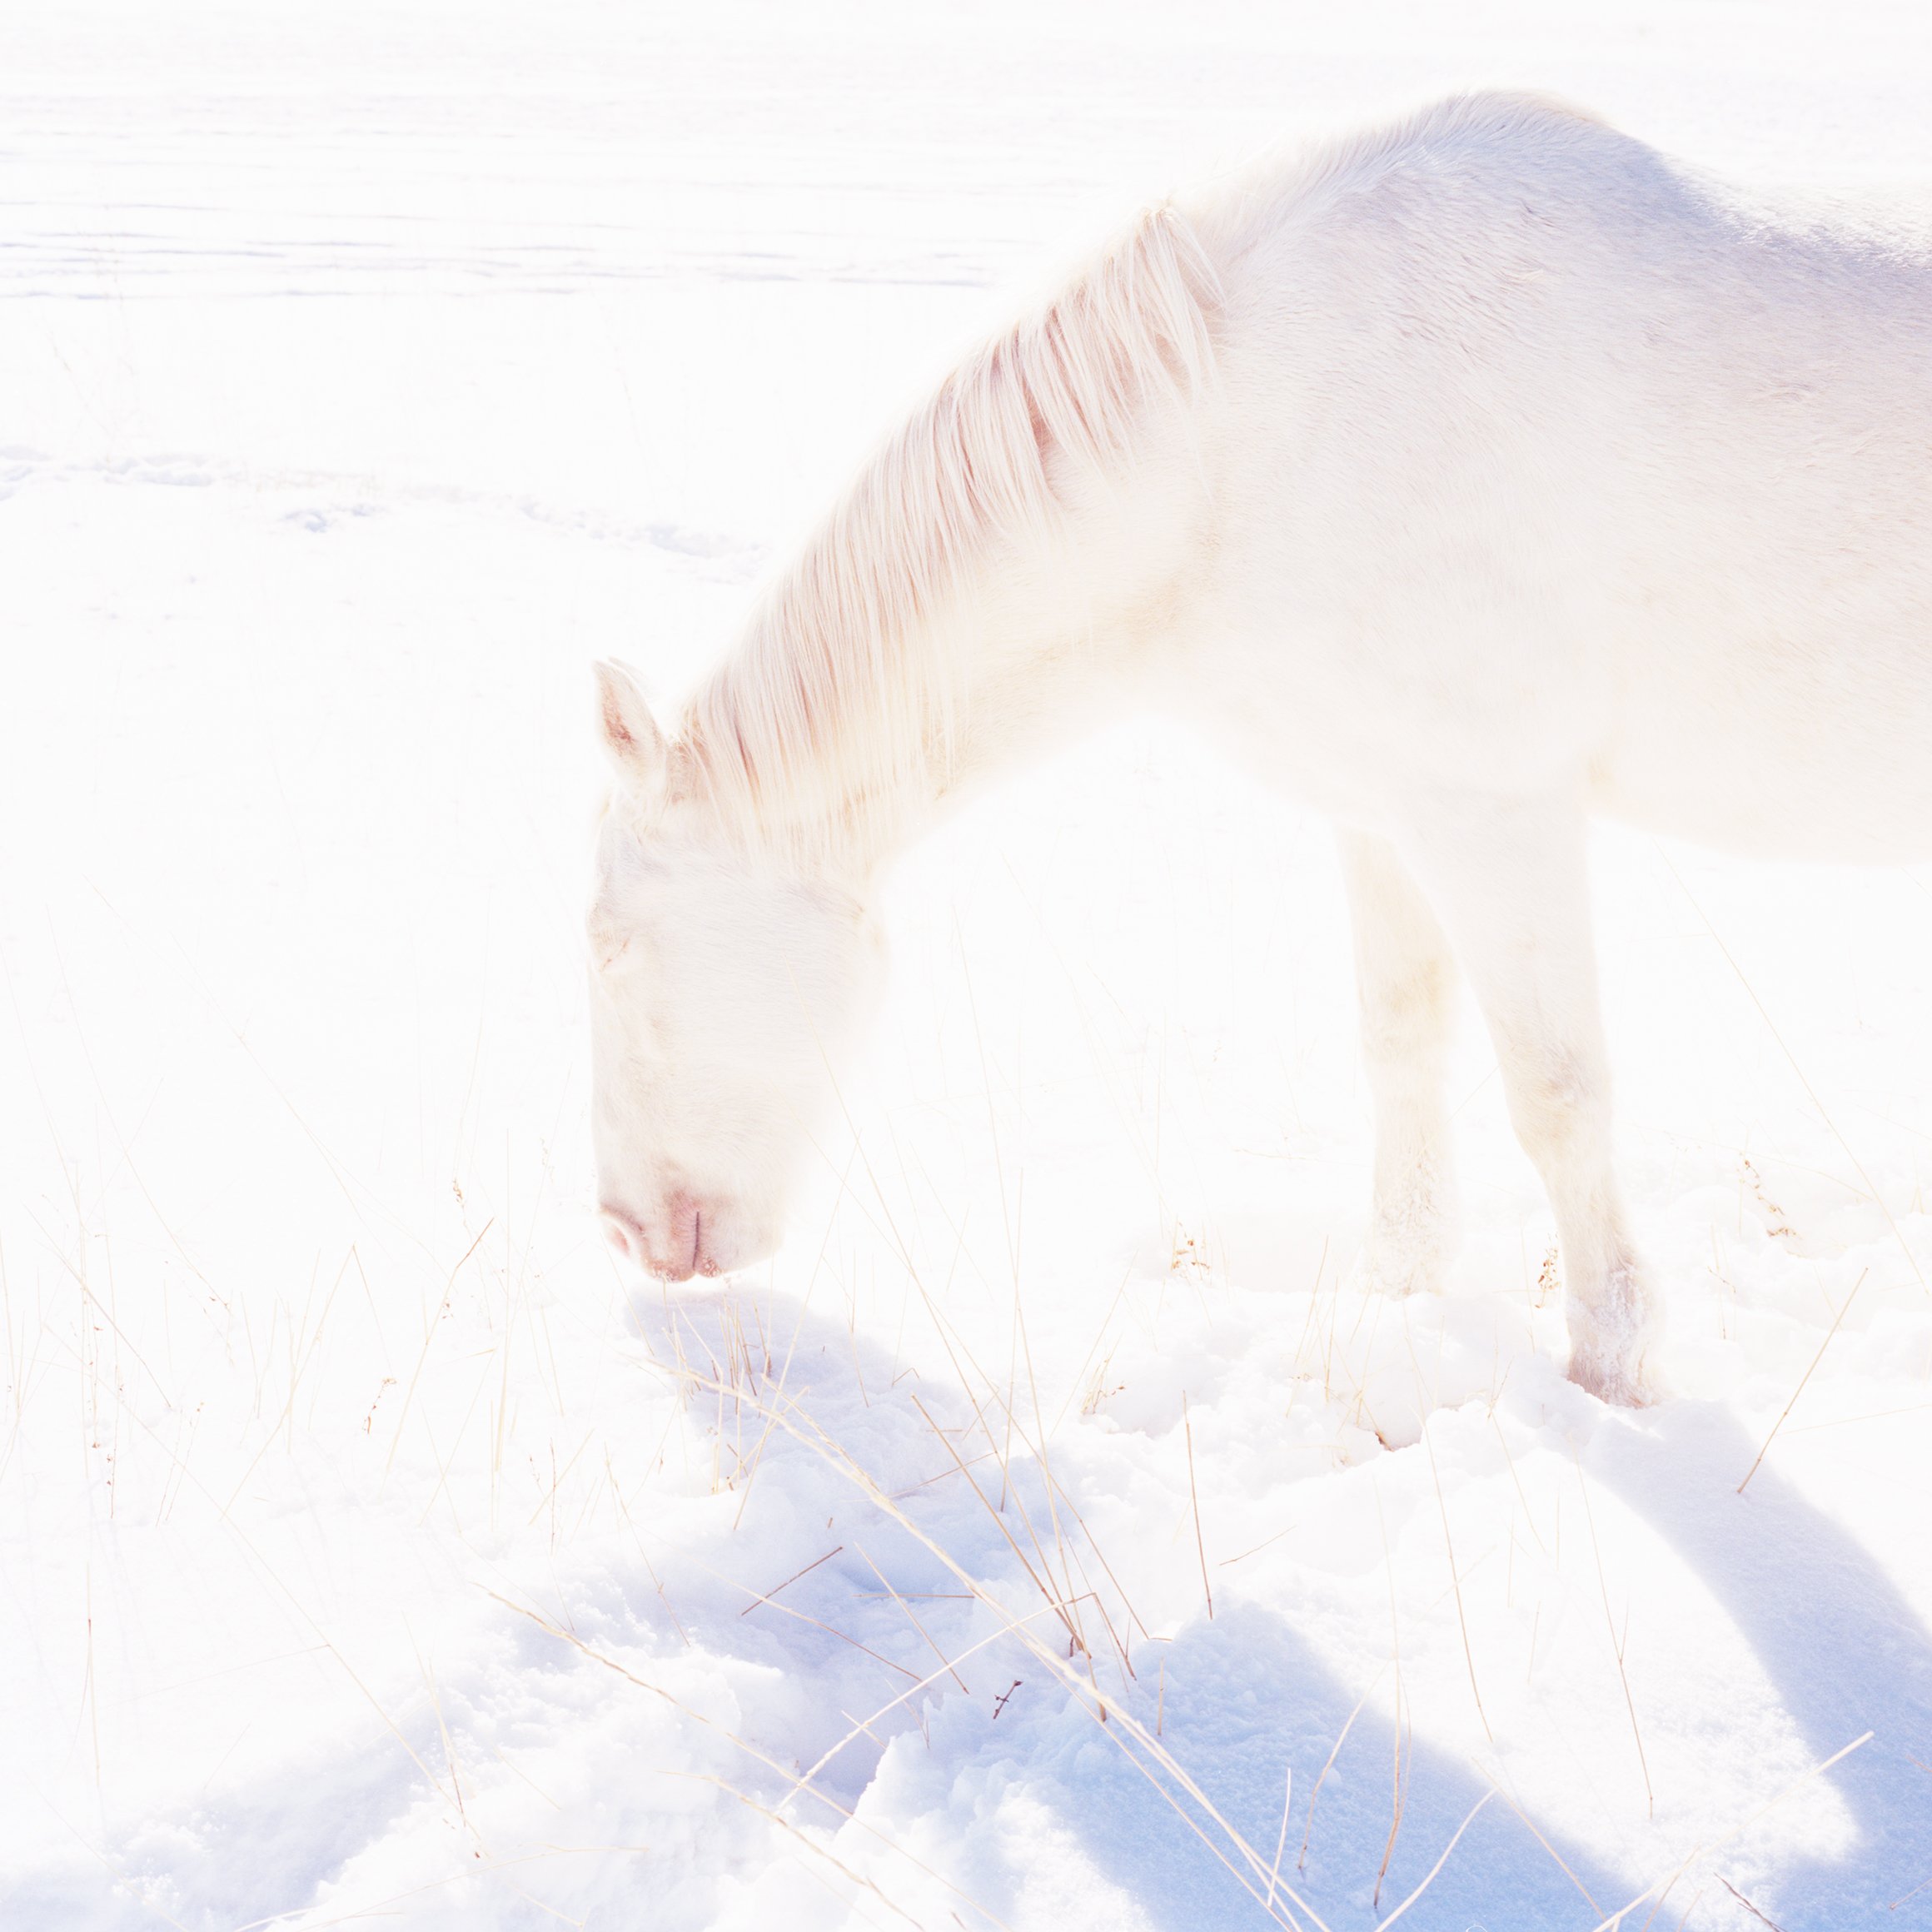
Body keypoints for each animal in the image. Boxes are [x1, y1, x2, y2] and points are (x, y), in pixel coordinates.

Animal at [587, 97, 1932, 1406]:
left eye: (611, 946)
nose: (623, 1230)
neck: (1246, 443)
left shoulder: (1498, 815)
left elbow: (1557, 1093)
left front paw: (1613, 1362)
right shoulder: (1381, 812)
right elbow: (1400, 1044)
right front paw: (1399, 1290)